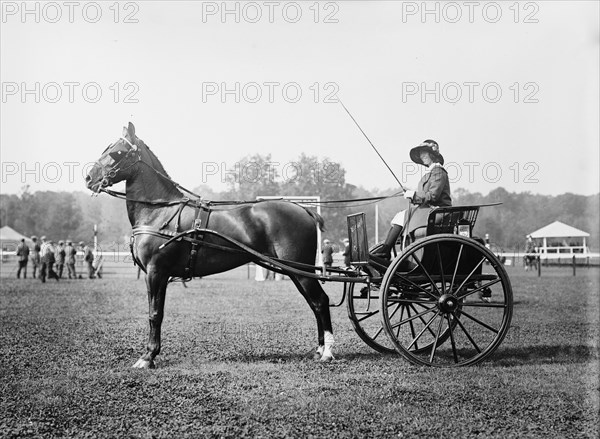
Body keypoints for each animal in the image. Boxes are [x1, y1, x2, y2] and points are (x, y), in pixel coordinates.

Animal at [86, 123, 336, 368]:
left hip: (300, 269)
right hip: (294, 270)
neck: (159, 212)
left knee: (320, 301)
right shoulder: (156, 274)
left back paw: (327, 351)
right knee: (314, 303)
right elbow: (155, 311)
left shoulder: (156, 271)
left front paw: (148, 356)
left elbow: (155, 314)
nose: (89, 177)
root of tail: (303, 209)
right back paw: (319, 349)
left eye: (117, 152)